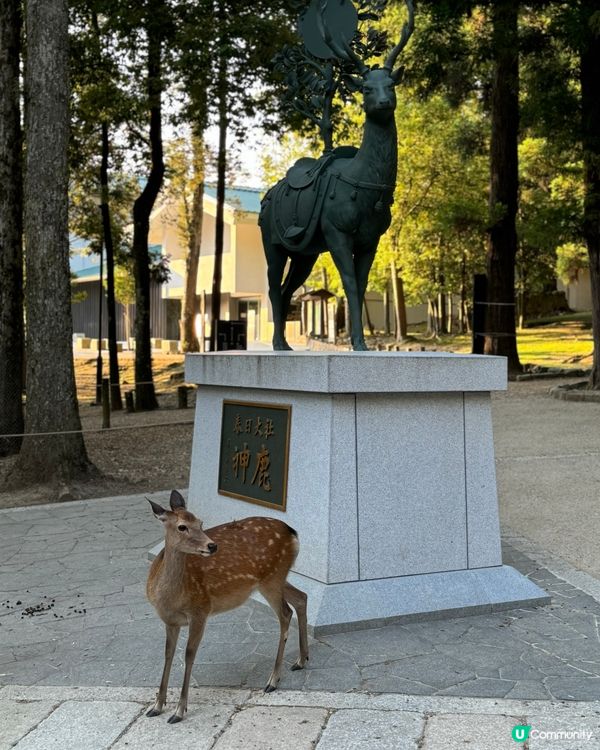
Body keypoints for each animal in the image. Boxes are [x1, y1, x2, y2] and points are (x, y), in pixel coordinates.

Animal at [146, 490, 309, 723]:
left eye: (200, 522)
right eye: (182, 526)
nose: (212, 545)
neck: (169, 597)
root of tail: (293, 532)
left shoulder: (201, 610)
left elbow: (189, 654)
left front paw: (179, 711)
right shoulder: (170, 620)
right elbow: (168, 654)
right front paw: (157, 706)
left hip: (272, 578)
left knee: (286, 613)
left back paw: (273, 680)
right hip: (275, 578)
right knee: (302, 597)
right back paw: (301, 660)